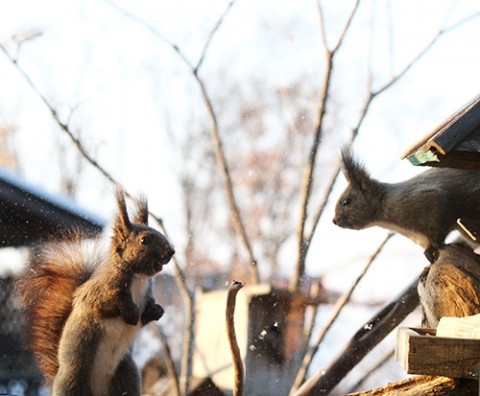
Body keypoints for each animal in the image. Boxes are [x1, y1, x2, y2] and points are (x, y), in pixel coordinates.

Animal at [16, 190, 175, 394]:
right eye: (144, 240)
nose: (171, 252)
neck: (138, 279)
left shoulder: (146, 295)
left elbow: (146, 313)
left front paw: (157, 311)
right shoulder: (96, 293)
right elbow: (108, 302)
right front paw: (131, 311)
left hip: (127, 375)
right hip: (73, 380)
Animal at [334, 150, 480, 262]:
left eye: (347, 201)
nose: (334, 221)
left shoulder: (429, 204)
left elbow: (437, 232)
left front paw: (431, 248)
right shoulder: (417, 236)